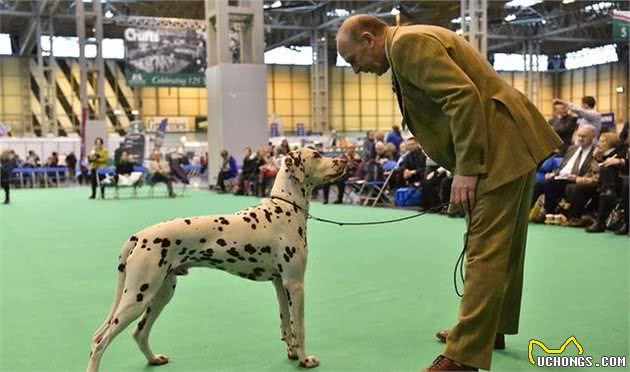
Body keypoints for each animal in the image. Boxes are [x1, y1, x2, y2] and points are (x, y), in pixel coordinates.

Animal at [86, 148, 348, 372]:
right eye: (316, 154)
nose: (345, 159)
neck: (285, 209)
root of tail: (138, 236)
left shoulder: (280, 284)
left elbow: (287, 324)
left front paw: (292, 353)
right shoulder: (295, 284)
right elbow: (300, 327)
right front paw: (305, 359)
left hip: (161, 293)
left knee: (139, 332)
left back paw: (154, 359)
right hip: (138, 296)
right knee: (100, 340)